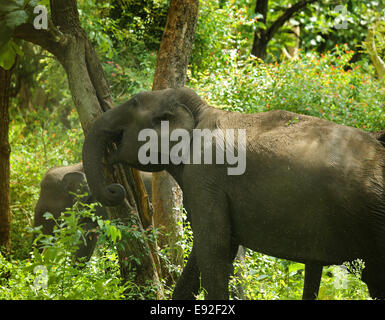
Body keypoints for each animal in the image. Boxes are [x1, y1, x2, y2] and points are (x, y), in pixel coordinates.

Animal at [82, 85, 385, 300]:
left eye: (133, 103)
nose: (116, 189)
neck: (200, 112)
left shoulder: (205, 177)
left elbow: (213, 250)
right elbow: (211, 251)